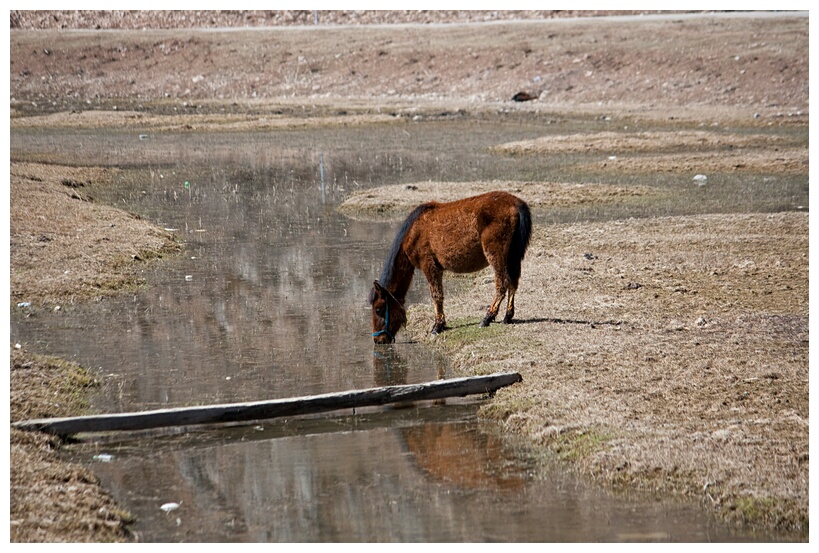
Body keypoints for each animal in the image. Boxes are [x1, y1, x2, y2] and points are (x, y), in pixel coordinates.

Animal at [370, 192, 532, 342]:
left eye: (378, 309)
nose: (378, 340)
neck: (413, 232)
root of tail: (516, 202)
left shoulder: (429, 266)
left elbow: (436, 295)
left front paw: (437, 327)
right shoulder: (438, 269)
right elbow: (439, 295)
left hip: (496, 255)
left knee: (502, 284)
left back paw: (487, 318)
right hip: (511, 257)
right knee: (513, 283)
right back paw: (507, 317)